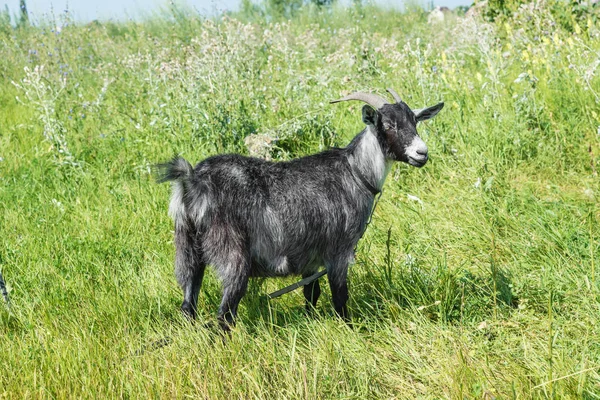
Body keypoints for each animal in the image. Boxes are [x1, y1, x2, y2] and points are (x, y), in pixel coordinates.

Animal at [157, 89, 442, 330]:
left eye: (414, 122)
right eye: (389, 125)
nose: (422, 153)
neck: (356, 172)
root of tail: (193, 181)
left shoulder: (310, 257)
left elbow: (311, 293)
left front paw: (310, 322)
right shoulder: (338, 252)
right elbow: (340, 297)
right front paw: (349, 330)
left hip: (188, 248)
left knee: (188, 304)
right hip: (232, 253)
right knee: (225, 313)